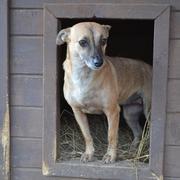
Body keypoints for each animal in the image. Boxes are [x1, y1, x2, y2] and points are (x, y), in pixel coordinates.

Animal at [56, 21, 152, 164]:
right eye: (83, 42)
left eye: (104, 41)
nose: (99, 62)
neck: (83, 76)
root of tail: (150, 67)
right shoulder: (77, 112)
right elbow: (87, 135)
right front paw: (89, 153)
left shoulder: (112, 111)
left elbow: (111, 136)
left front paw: (110, 156)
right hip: (129, 114)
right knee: (138, 133)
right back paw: (133, 150)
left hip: (148, 111)